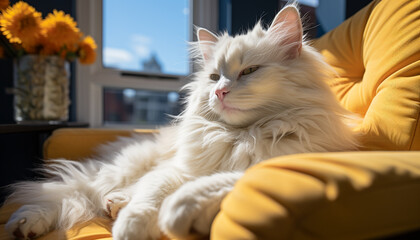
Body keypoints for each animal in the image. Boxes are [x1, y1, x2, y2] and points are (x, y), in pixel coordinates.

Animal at [3, 4, 358, 240]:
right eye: (214, 77)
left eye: (249, 71)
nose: (220, 91)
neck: (240, 137)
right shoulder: (175, 171)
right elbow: (150, 199)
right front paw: (131, 228)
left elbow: (219, 183)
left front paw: (166, 215)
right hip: (120, 169)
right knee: (69, 192)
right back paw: (25, 224)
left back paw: (115, 205)